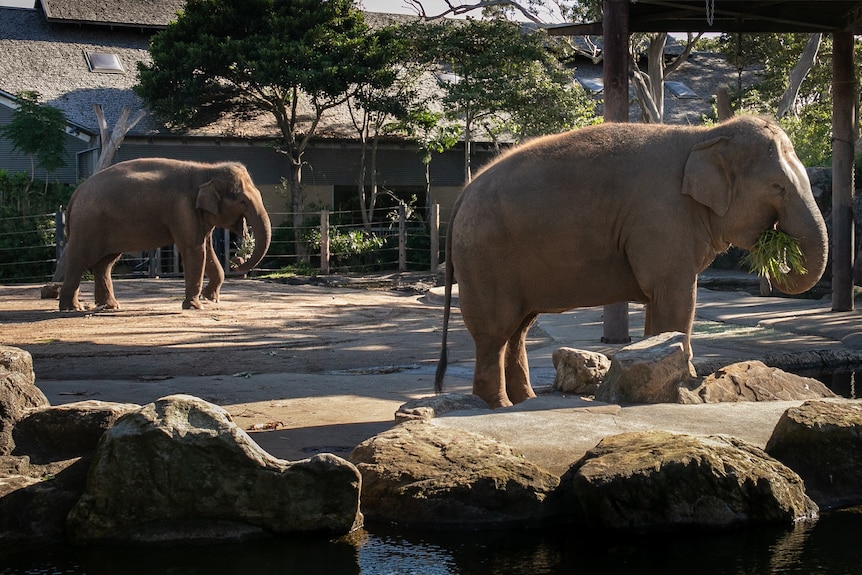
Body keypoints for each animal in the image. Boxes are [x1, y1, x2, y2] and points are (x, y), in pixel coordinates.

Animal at [54, 158, 270, 312]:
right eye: (242, 202)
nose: (236, 260)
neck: (207, 171)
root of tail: (75, 195)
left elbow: (207, 250)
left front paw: (211, 299)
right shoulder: (183, 208)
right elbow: (194, 249)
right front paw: (196, 306)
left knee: (104, 263)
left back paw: (110, 306)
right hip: (88, 225)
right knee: (80, 259)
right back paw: (72, 308)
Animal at [438, 116, 832, 410]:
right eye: (778, 186)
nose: (777, 245)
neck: (705, 136)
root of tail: (462, 195)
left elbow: (661, 303)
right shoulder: (662, 216)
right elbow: (676, 297)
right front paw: (688, 386)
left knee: (518, 329)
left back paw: (523, 402)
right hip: (486, 259)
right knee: (495, 332)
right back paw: (497, 405)